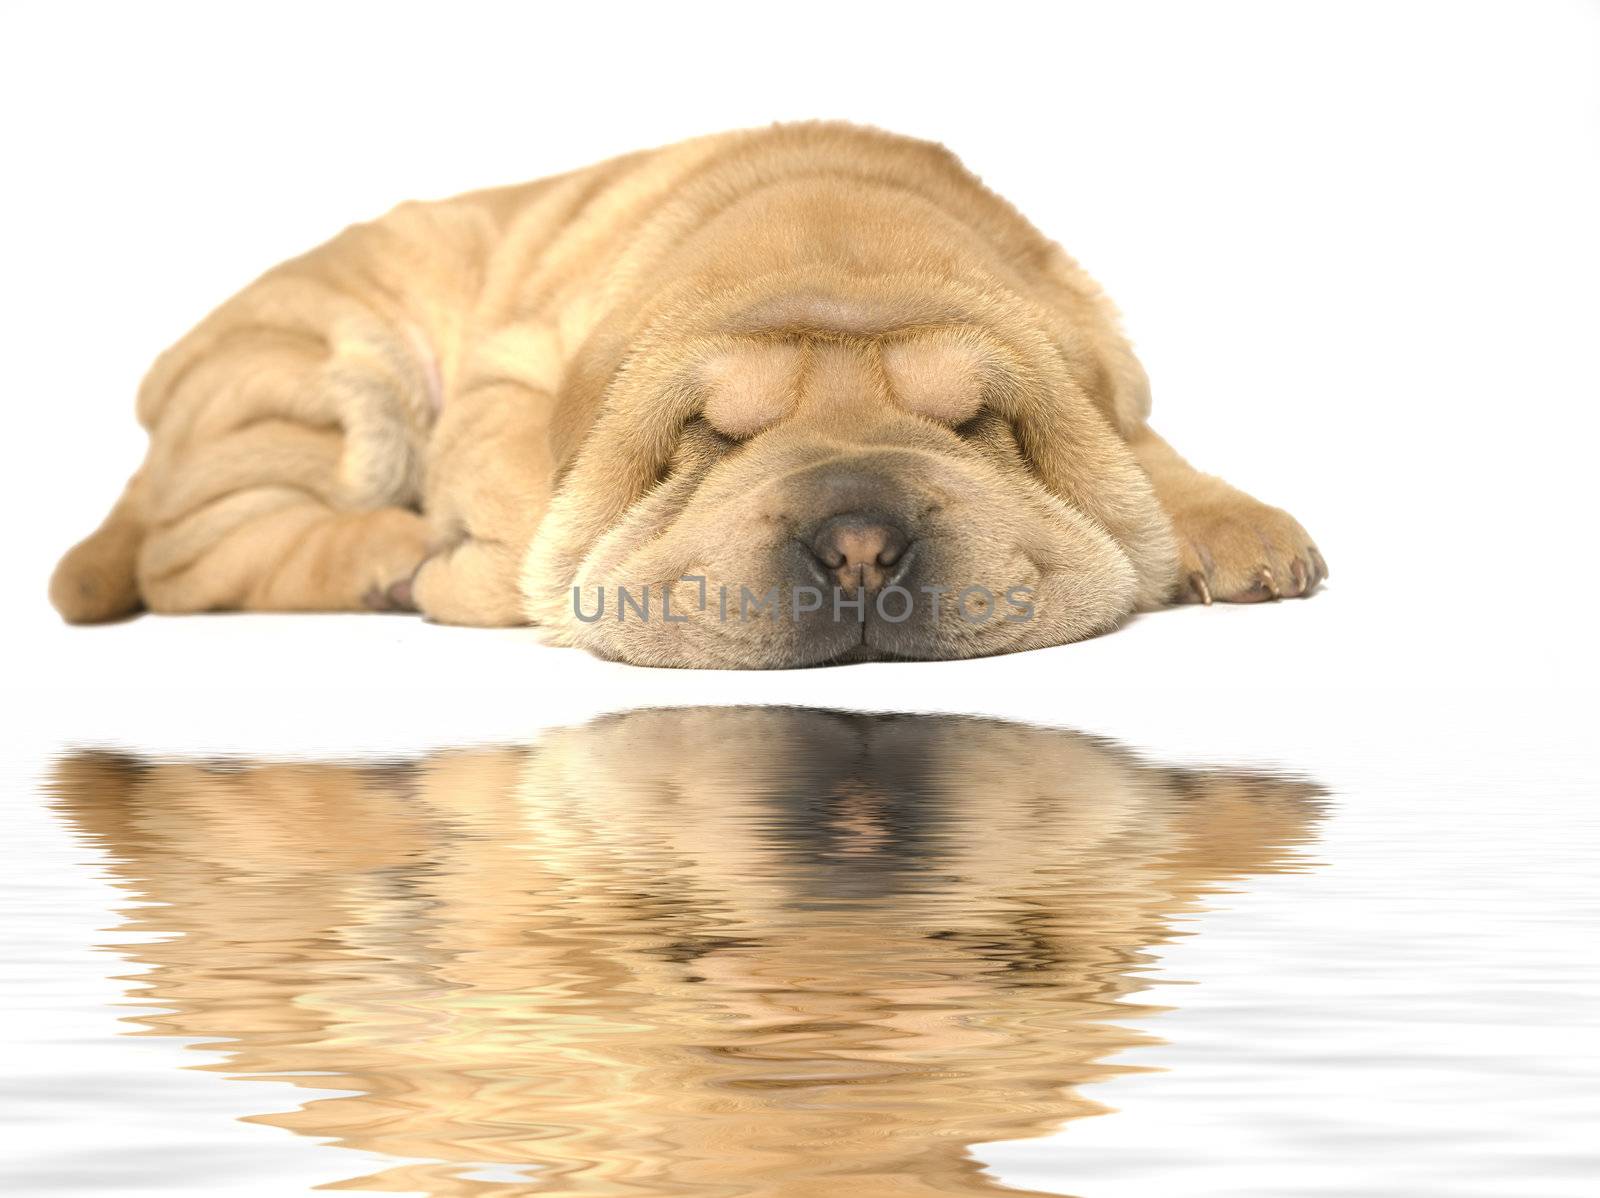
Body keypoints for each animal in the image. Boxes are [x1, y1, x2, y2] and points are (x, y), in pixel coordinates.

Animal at [50, 126, 1324, 668]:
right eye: (712, 432)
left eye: (972, 423)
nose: (858, 541)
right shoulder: (511, 378)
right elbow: (530, 506)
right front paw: (475, 572)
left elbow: (1145, 453)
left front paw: (1237, 530)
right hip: (328, 372)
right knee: (192, 553)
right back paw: (387, 560)